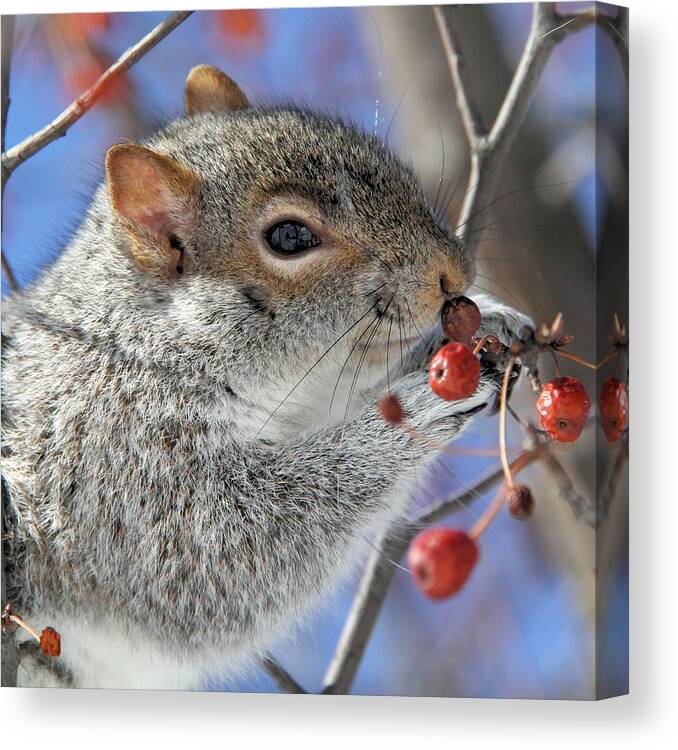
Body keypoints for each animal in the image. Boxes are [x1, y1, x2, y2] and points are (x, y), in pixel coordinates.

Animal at [0, 66, 532, 692]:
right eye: (289, 238)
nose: (454, 273)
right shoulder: (113, 463)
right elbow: (234, 550)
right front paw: (420, 406)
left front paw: (490, 321)